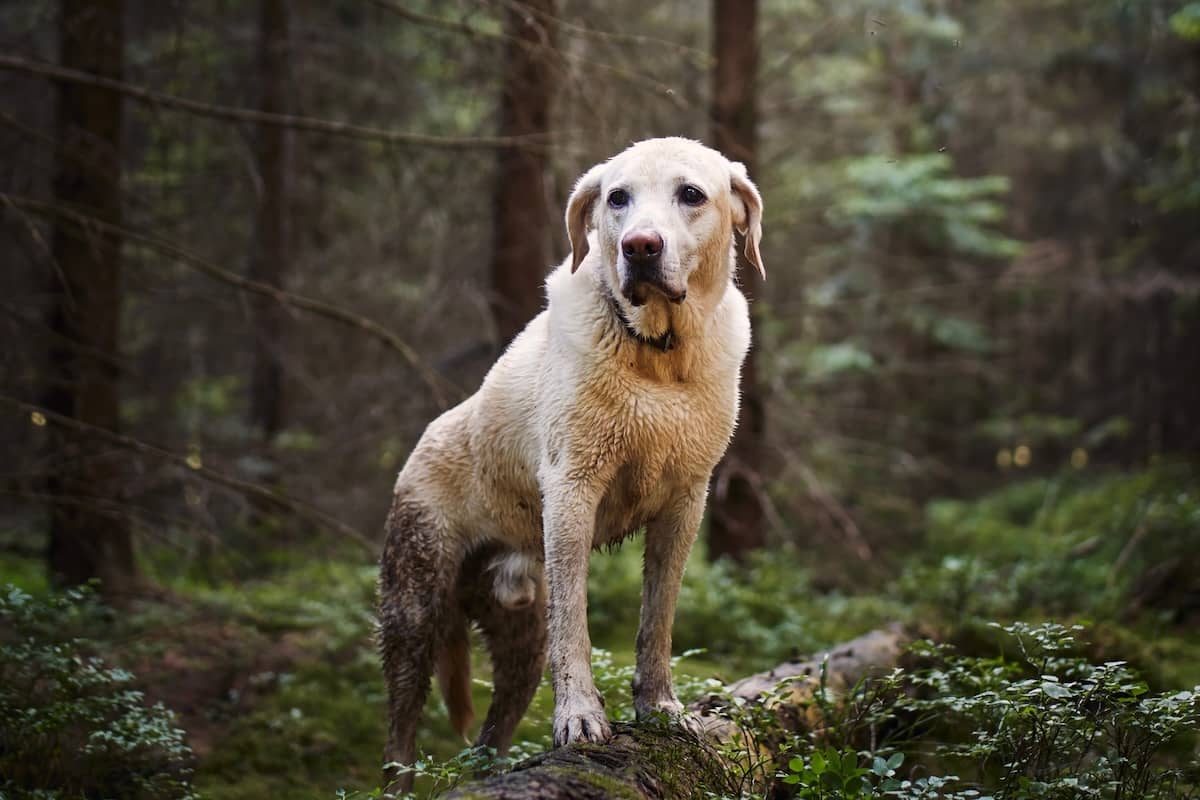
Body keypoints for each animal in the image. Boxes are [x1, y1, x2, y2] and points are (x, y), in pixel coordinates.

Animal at [379, 139, 763, 786]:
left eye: (690, 194)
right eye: (617, 198)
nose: (639, 246)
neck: (658, 357)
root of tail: (420, 445)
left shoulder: (686, 503)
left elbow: (657, 619)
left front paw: (661, 708)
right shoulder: (572, 493)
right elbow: (576, 625)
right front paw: (581, 719)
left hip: (518, 641)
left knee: (491, 733)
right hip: (414, 611)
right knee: (400, 734)